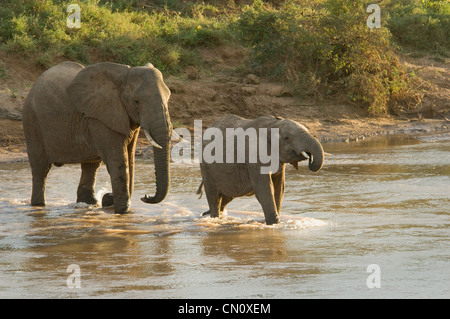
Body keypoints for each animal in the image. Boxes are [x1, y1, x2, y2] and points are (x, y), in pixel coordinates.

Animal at [22, 61, 175, 214]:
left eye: (168, 98)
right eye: (136, 101)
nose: (145, 196)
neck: (123, 74)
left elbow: (130, 159)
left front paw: (113, 203)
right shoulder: (100, 118)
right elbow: (119, 161)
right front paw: (122, 212)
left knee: (91, 165)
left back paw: (89, 203)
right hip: (32, 121)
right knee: (40, 168)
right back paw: (38, 205)